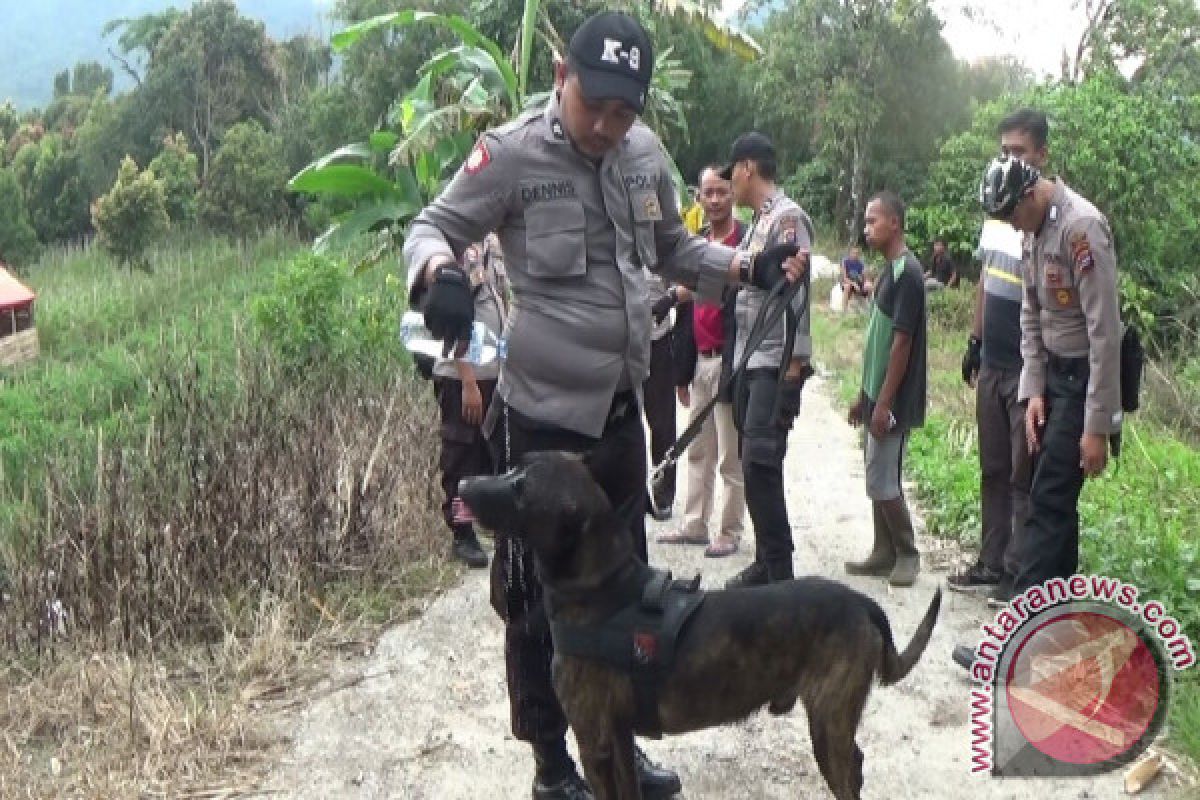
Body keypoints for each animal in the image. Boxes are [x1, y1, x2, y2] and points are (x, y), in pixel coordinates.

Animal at [458, 453, 936, 796]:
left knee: (850, 773)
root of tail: (863, 604)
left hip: (829, 721)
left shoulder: (594, 741)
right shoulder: (618, 738)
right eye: (513, 469)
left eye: (519, 486)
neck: (604, 590)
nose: (462, 483)